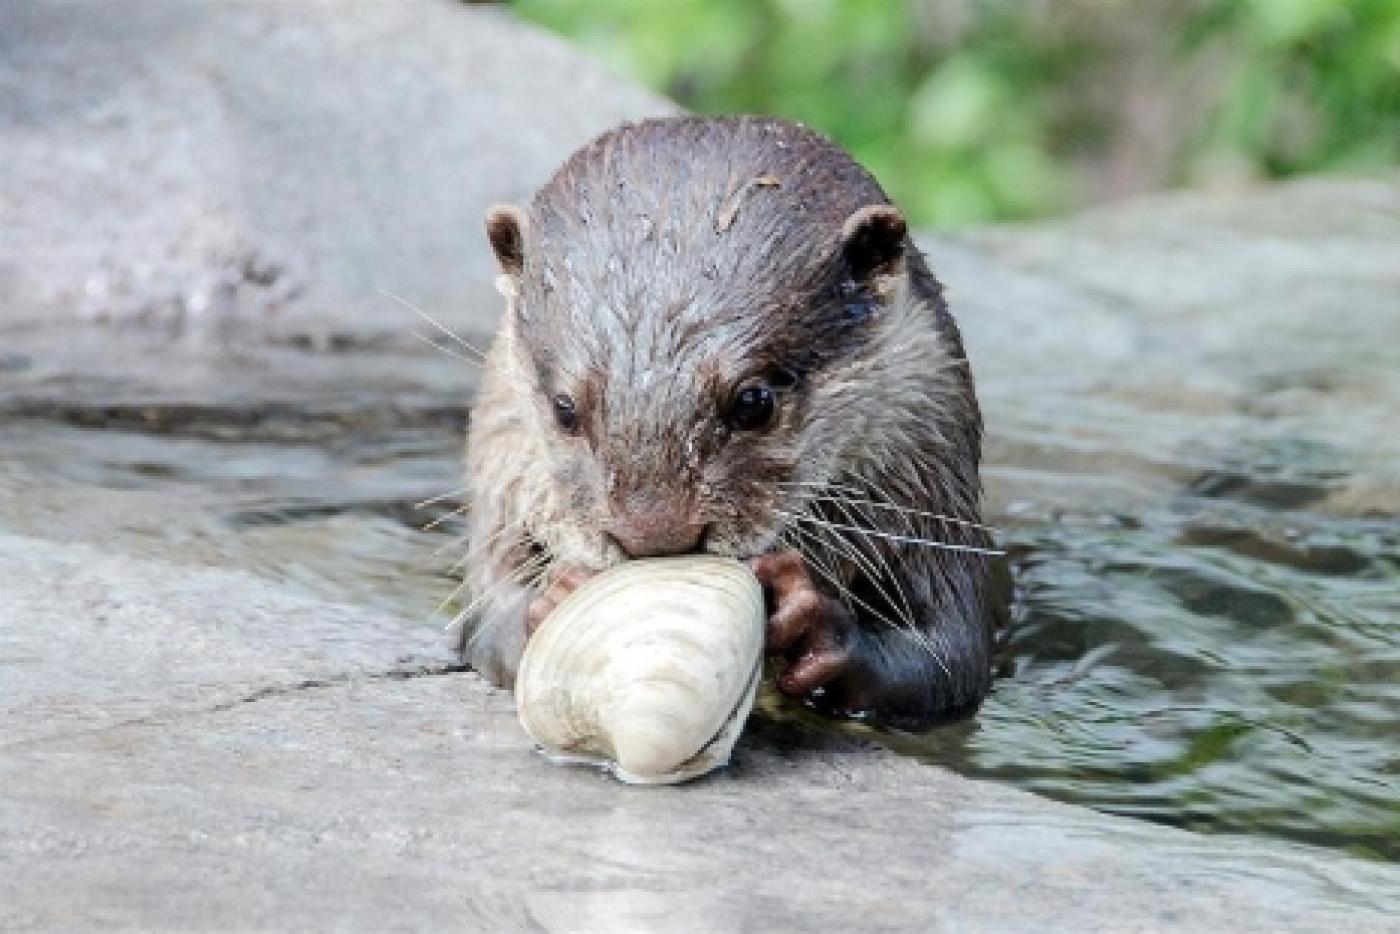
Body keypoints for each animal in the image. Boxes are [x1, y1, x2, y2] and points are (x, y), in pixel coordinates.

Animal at [460, 116, 1007, 731]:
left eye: (754, 402)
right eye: (563, 407)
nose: (655, 535)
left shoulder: (931, 481)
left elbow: (950, 655)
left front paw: (811, 620)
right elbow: (485, 628)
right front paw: (550, 596)